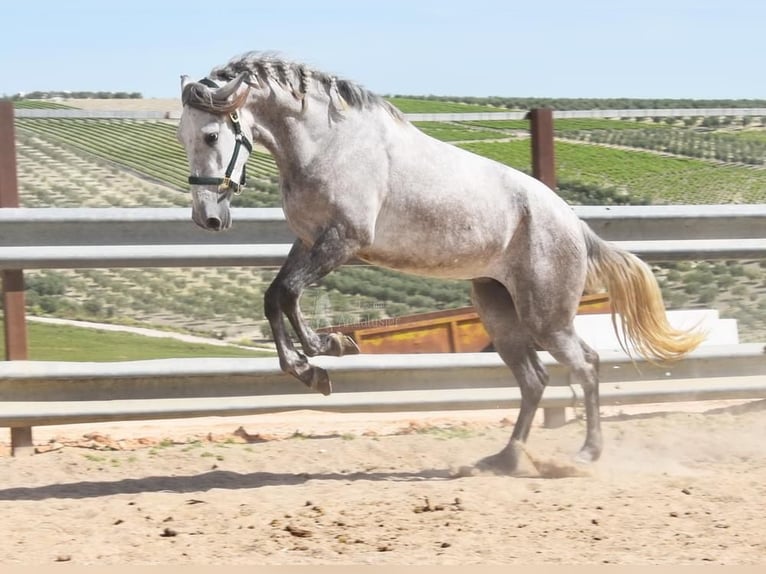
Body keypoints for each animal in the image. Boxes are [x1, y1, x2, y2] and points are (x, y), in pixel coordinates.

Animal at [176, 51, 708, 474]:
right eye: (182, 136)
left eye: (210, 135)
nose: (207, 218)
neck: (327, 144)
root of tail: (574, 224)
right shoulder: (309, 242)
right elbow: (276, 297)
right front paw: (319, 360)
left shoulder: (343, 241)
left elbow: (287, 295)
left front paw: (324, 353)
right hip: (499, 311)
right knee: (534, 381)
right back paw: (506, 458)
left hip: (547, 317)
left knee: (588, 366)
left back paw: (584, 455)